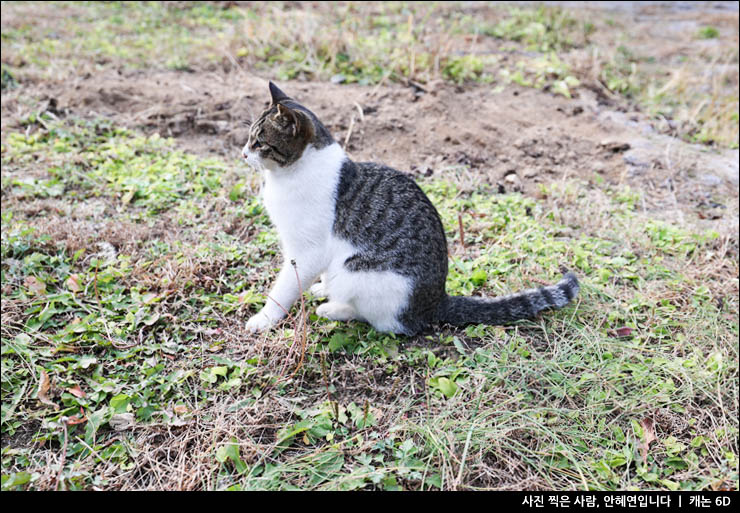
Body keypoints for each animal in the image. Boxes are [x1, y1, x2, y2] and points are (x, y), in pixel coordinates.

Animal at [241, 81, 580, 334]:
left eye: (260, 142)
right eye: (249, 139)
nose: (243, 153)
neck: (287, 176)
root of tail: (435, 301)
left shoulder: (307, 250)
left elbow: (284, 288)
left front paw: (265, 318)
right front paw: (320, 285)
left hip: (359, 271)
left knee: (383, 320)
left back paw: (334, 309)